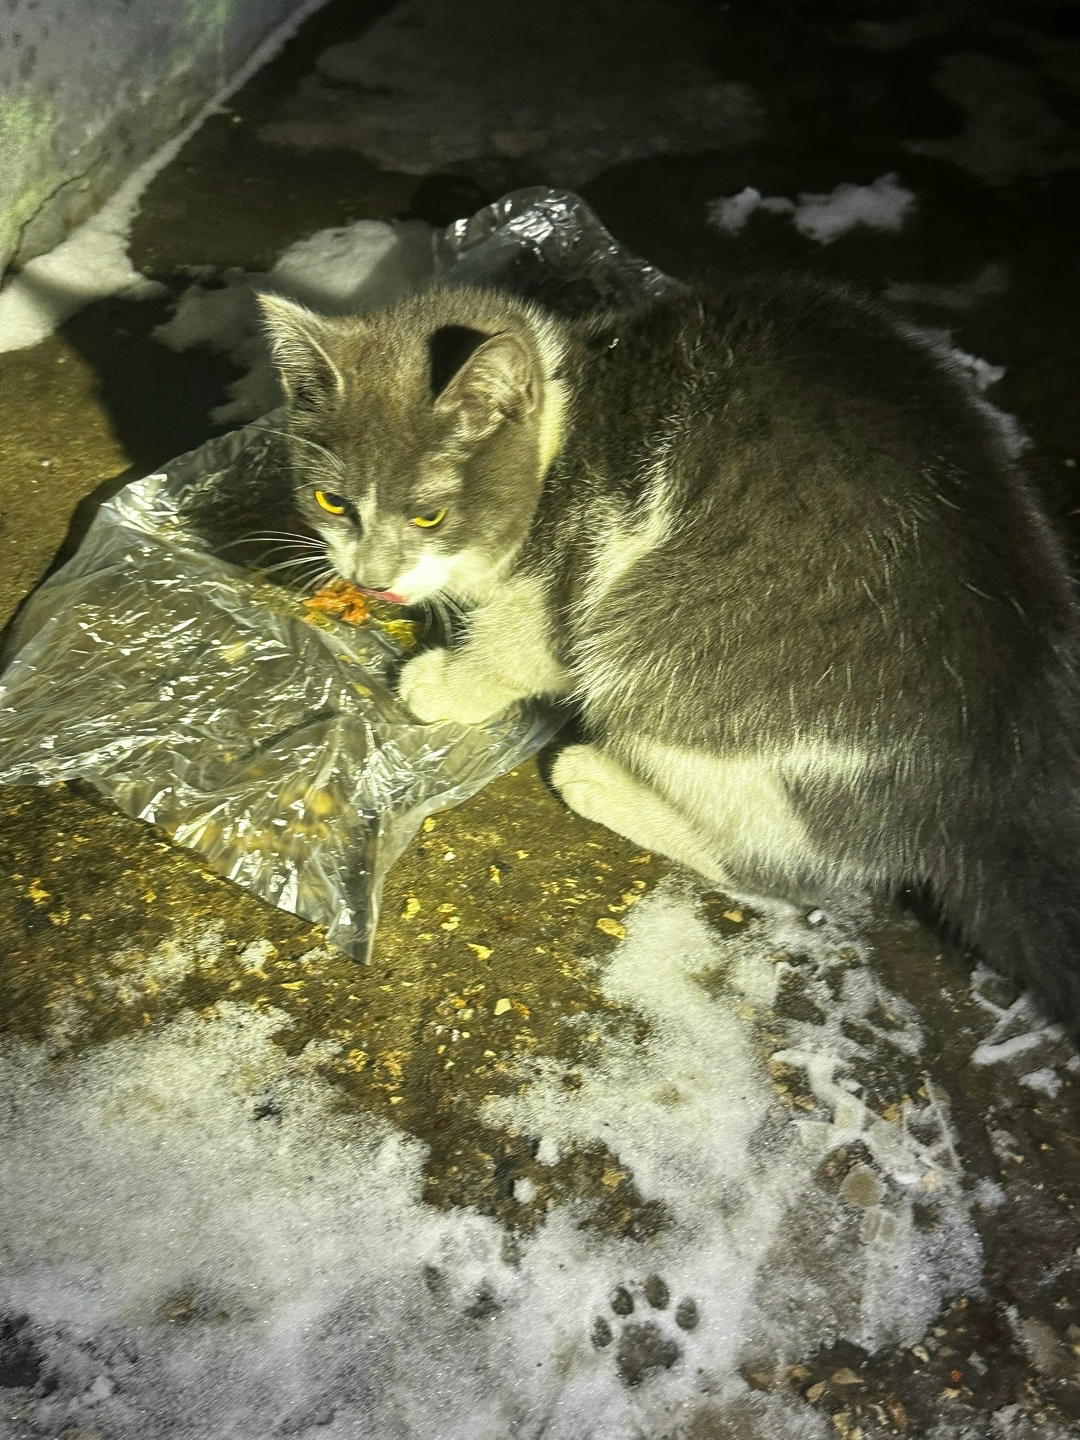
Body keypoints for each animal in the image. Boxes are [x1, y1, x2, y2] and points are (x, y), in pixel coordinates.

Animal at [258, 275, 1080, 1037]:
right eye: (332, 503)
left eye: (428, 515)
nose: (372, 577)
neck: (568, 420)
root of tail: (991, 779)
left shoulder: (580, 554)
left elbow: (524, 646)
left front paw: (449, 683)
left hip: (663, 664)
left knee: (792, 873)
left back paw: (594, 777)